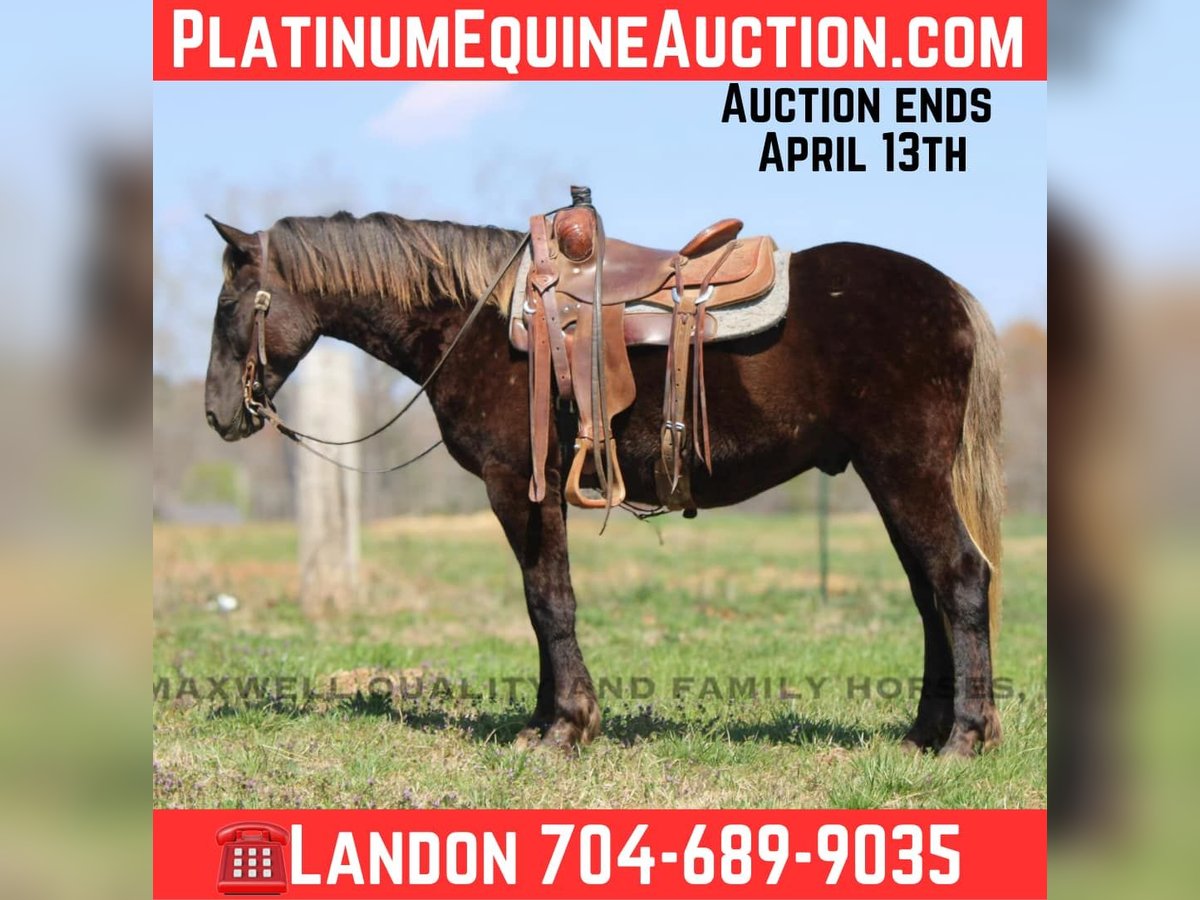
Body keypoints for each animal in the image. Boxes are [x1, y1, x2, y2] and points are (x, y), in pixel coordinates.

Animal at [202, 209, 1004, 757]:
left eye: (228, 306)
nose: (216, 414)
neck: (481, 319)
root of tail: (950, 292)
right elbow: (539, 605)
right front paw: (542, 718)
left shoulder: (517, 484)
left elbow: (548, 601)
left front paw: (567, 726)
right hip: (888, 476)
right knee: (929, 595)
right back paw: (925, 732)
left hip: (906, 472)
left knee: (961, 579)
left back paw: (966, 736)